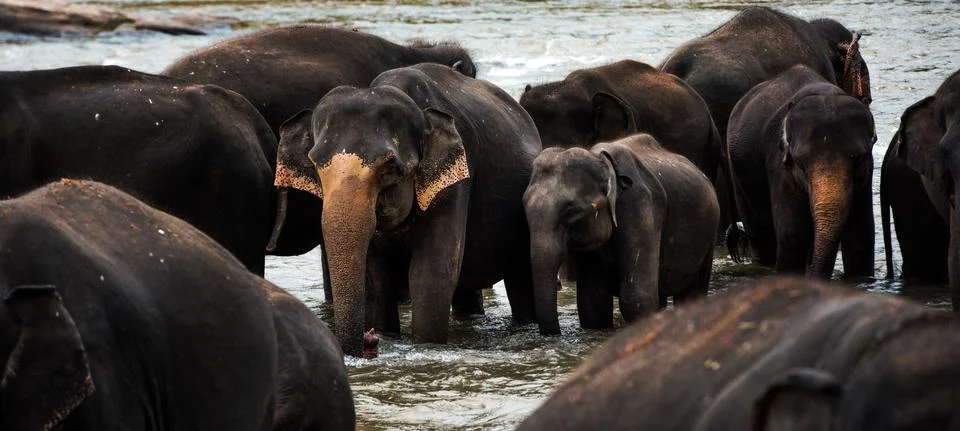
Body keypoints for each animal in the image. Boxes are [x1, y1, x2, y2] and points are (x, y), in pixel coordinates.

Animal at [272, 62, 541, 357]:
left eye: (390, 167)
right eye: (315, 165)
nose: (369, 340)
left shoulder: (458, 177)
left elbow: (431, 271)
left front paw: (426, 345)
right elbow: (378, 276)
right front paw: (386, 332)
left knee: (521, 281)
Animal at [522, 134, 719, 335]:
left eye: (571, 211)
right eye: (524, 209)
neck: (599, 159)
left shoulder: (641, 209)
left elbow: (637, 299)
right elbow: (593, 303)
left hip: (710, 234)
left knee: (691, 294)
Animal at [726, 65, 875, 278]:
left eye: (859, 159)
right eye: (800, 163)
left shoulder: (867, 173)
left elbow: (860, 240)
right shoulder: (779, 164)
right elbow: (793, 237)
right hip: (738, 174)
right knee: (760, 234)